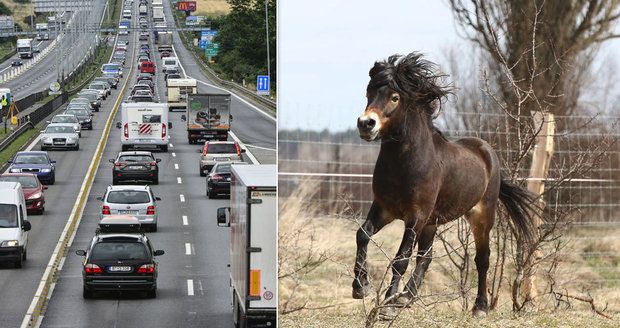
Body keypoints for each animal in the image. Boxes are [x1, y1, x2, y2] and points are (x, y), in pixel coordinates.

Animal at [354, 52, 536, 316]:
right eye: (368, 92)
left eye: (395, 97)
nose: (366, 124)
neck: (406, 164)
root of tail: (487, 152)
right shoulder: (384, 209)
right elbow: (363, 235)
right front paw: (360, 287)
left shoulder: (415, 216)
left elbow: (401, 258)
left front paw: (387, 305)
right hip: (432, 222)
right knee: (426, 256)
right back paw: (406, 297)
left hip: (480, 217)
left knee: (482, 259)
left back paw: (480, 307)